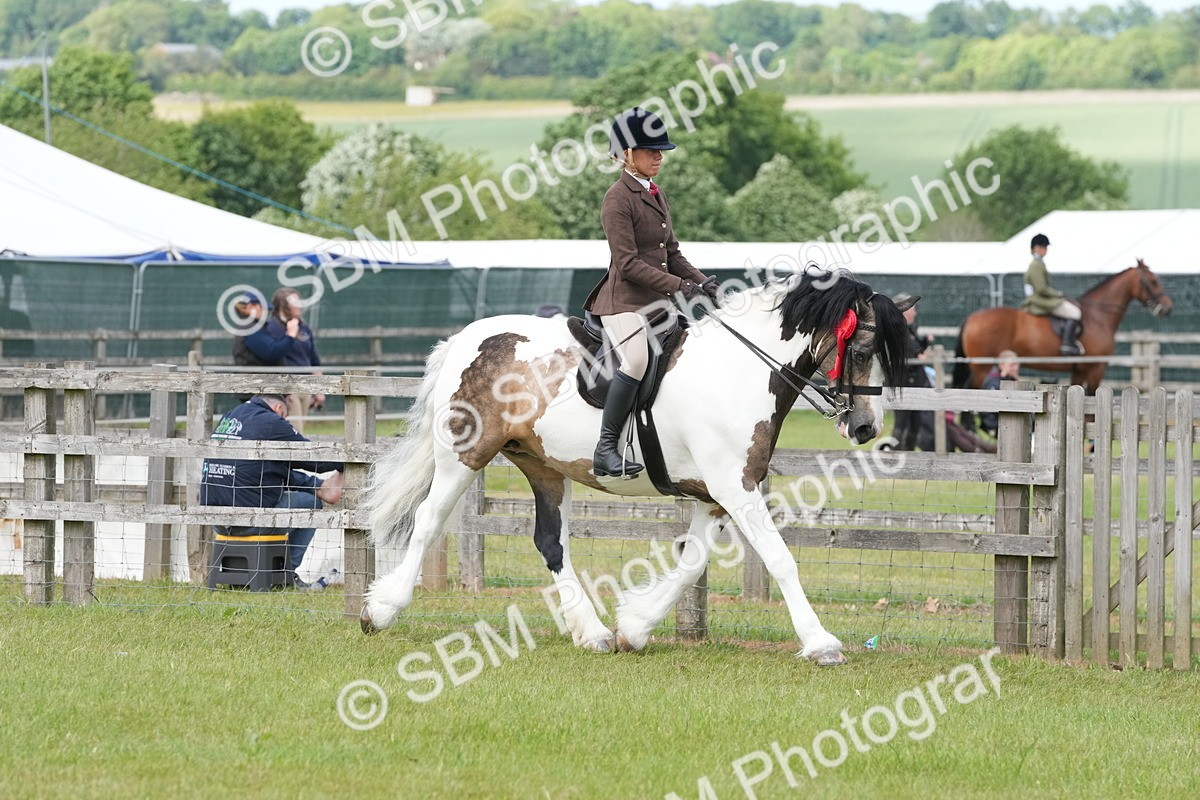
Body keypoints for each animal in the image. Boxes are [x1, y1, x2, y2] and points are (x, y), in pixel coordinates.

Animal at [358, 269, 911, 666]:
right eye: (861, 349)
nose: (866, 427)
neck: (739, 371)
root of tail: (466, 338)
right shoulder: (737, 488)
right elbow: (780, 559)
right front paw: (821, 643)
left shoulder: (715, 496)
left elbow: (691, 564)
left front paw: (635, 626)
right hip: (463, 455)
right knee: (429, 520)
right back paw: (380, 610)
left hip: (543, 465)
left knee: (551, 541)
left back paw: (594, 633)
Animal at [953, 260, 1172, 392]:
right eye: (1153, 281)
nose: (1168, 308)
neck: (1098, 316)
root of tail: (971, 317)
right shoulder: (1096, 368)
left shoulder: (1079, 370)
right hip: (981, 366)